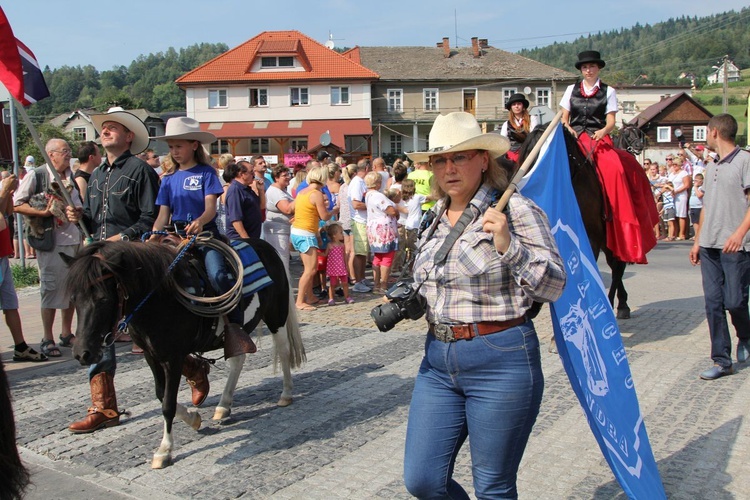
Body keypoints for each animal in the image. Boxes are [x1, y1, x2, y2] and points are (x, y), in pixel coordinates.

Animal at [67, 239, 306, 468]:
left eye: (103, 299)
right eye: (74, 298)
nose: (82, 353)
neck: (160, 299)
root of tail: (269, 248)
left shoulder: (173, 358)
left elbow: (167, 404)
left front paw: (164, 451)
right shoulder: (151, 355)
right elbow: (160, 394)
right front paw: (193, 418)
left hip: (276, 317)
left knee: (283, 351)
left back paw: (286, 394)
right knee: (238, 359)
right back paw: (223, 406)